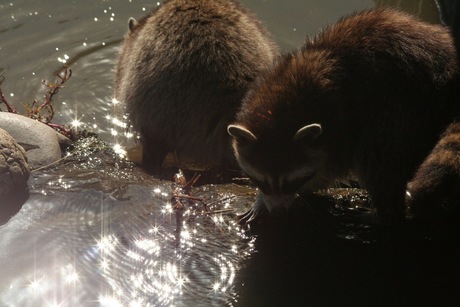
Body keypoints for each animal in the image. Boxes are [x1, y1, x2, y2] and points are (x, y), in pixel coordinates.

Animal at [227, 7, 460, 224]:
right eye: (261, 181)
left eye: (291, 182)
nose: (277, 212)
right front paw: (263, 200)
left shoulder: (338, 118)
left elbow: (329, 169)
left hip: (402, 103)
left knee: (378, 154)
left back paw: (383, 213)